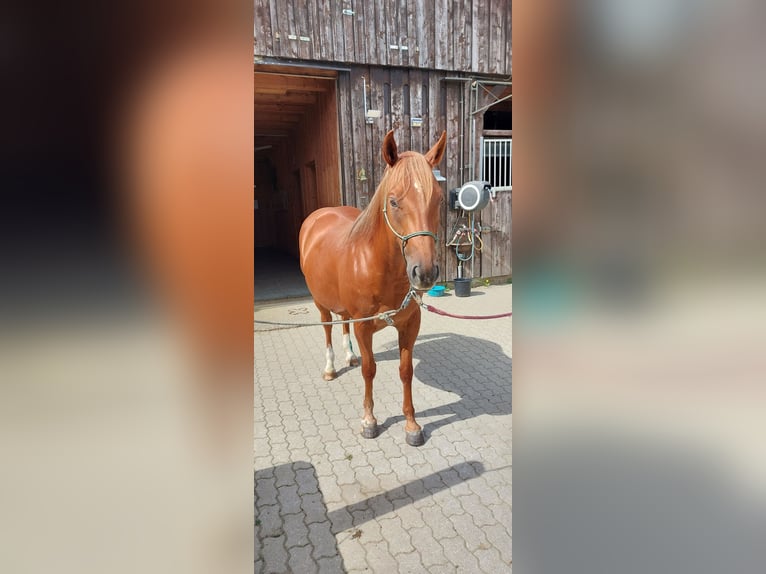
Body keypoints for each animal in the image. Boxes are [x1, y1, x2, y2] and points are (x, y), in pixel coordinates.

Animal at [299, 130, 447, 446]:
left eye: (439, 199)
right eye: (393, 201)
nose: (425, 273)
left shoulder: (409, 324)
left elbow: (405, 371)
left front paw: (412, 425)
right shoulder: (364, 326)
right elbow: (370, 370)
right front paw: (369, 421)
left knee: (342, 323)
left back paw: (349, 356)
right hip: (320, 303)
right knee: (327, 327)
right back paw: (331, 368)